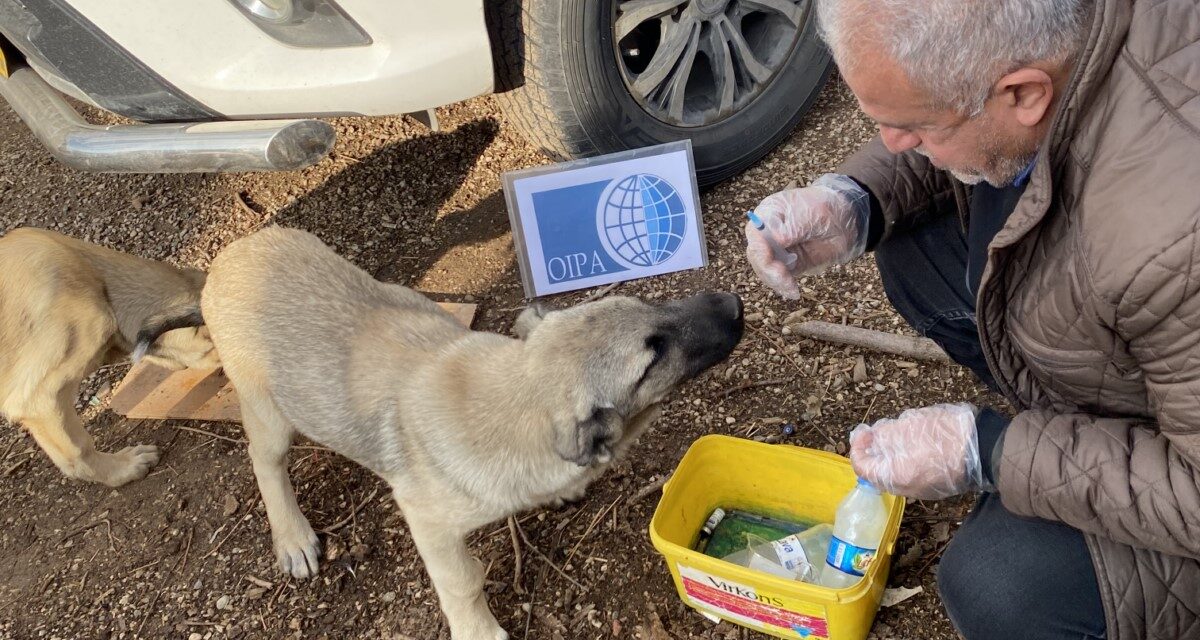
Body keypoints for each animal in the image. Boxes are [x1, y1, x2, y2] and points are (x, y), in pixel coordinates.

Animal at [196, 226, 739, 633]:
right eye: (653, 355)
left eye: (651, 305)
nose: (734, 303)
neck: (517, 398)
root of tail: (223, 261)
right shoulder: (428, 523)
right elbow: (463, 582)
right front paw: (478, 630)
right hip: (268, 411)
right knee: (266, 462)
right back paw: (293, 539)